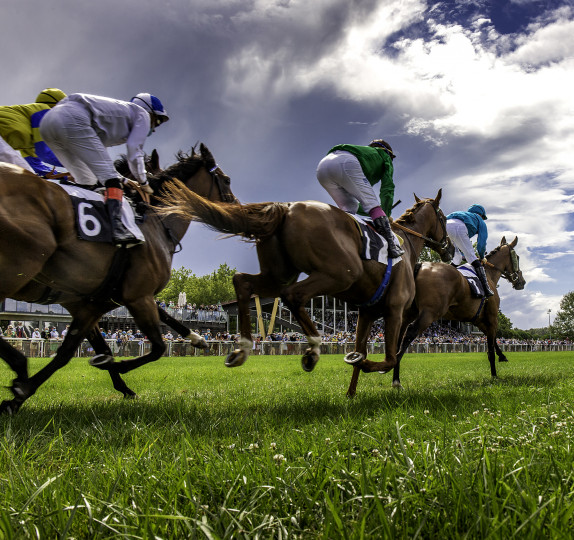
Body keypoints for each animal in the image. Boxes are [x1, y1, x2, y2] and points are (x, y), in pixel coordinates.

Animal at [0, 143, 238, 414]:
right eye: (227, 180)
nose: (235, 206)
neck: (155, 223)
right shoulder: (135, 296)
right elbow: (156, 345)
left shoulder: (88, 302)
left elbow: (88, 348)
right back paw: (20, 366)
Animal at [159, 184, 454, 386]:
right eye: (443, 218)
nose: (449, 248)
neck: (406, 243)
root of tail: (287, 207)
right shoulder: (395, 309)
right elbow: (389, 358)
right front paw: (372, 367)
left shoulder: (367, 311)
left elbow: (361, 354)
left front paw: (353, 387)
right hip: (338, 273)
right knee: (293, 295)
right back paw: (313, 348)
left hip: (280, 273)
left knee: (242, 282)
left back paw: (242, 347)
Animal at [392, 234, 528, 390]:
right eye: (517, 257)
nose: (522, 281)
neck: (488, 274)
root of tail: (420, 266)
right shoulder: (492, 317)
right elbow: (490, 348)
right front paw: (494, 375)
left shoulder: (479, 320)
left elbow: (493, 340)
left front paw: (502, 356)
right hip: (430, 312)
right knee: (410, 332)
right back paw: (393, 375)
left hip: (409, 312)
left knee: (399, 335)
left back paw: (395, 376)